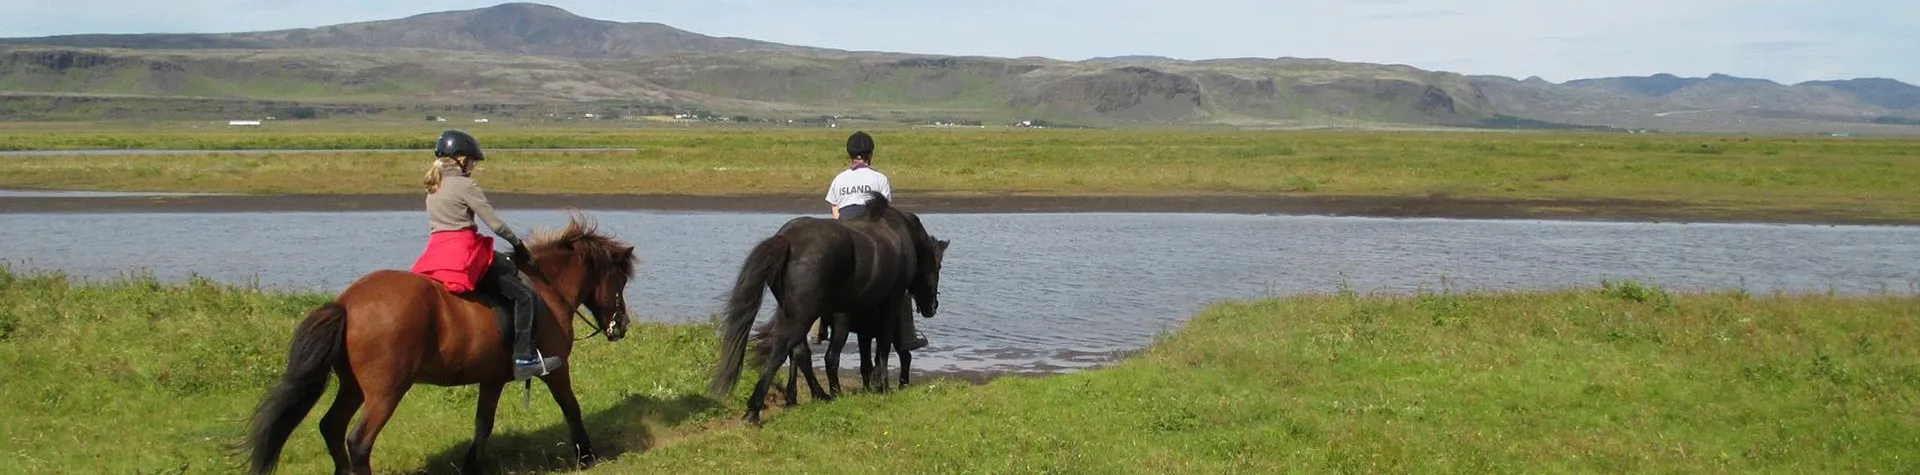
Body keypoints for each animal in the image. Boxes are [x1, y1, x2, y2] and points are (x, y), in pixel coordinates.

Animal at [241, 212, 637, 475]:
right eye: (619, 280)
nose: (621, 326)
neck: (545, 287)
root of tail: (346, 303)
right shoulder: (556, 367)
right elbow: (571, 406)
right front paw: (586, 456)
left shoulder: (492, 378)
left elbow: (483, 422)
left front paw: (473, 464)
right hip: (385, 391)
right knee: (358, 440)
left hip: (353, 385)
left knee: (332, 427)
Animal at [710, 191, 948, 425]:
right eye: (938, 266)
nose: (932, 307)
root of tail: (787, 238)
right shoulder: (891, 302)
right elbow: (883, 346)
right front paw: (882, 386)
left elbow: (866, 354)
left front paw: (871, 385)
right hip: (804, 317)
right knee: (785, 351)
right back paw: (755, 409)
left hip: (795, 315)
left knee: (800, 352)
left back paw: (819, 394)